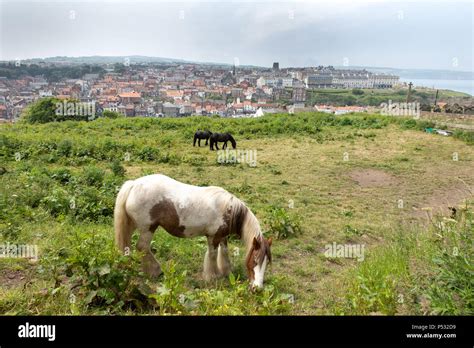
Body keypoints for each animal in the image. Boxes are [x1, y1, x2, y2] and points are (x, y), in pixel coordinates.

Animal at [112, 173, 272, 288]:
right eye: (255, 261)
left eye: (267, 263)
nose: (257, 288)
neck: (229, 209)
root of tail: (133, 184)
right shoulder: (213, 237)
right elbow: (212, 255)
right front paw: (212, 277)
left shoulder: (222, 236)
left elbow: (224, 253)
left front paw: (226, 271)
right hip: (148, 228)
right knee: (142, 247)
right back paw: (156, 271)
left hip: (132, 226)